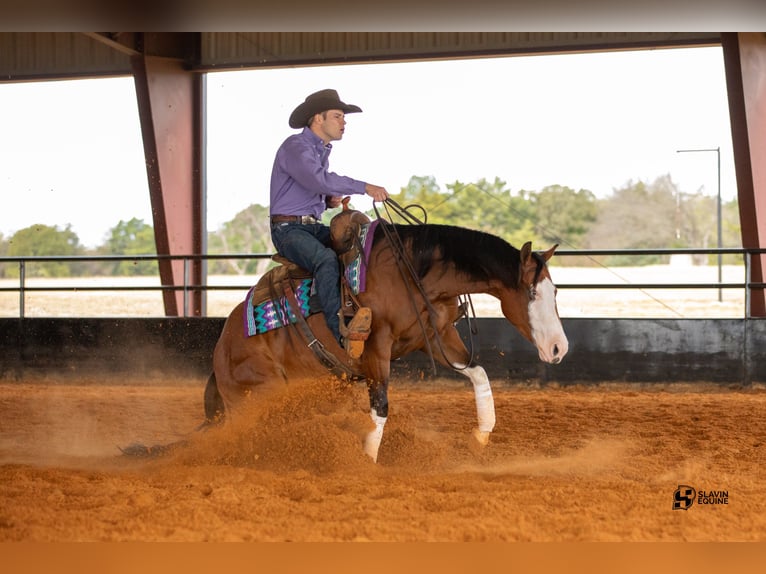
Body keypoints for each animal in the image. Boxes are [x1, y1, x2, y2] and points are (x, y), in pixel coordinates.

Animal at [206, 218, 568, 466]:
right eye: (532, 293)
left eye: (555, 292)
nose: (559, 348)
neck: (411, 272)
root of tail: (222, 349)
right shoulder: (376, 345)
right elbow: (380, 407)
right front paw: (367, 461)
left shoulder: (437, 336)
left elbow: (478, 372)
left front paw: (481, 434)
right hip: (261, 393)